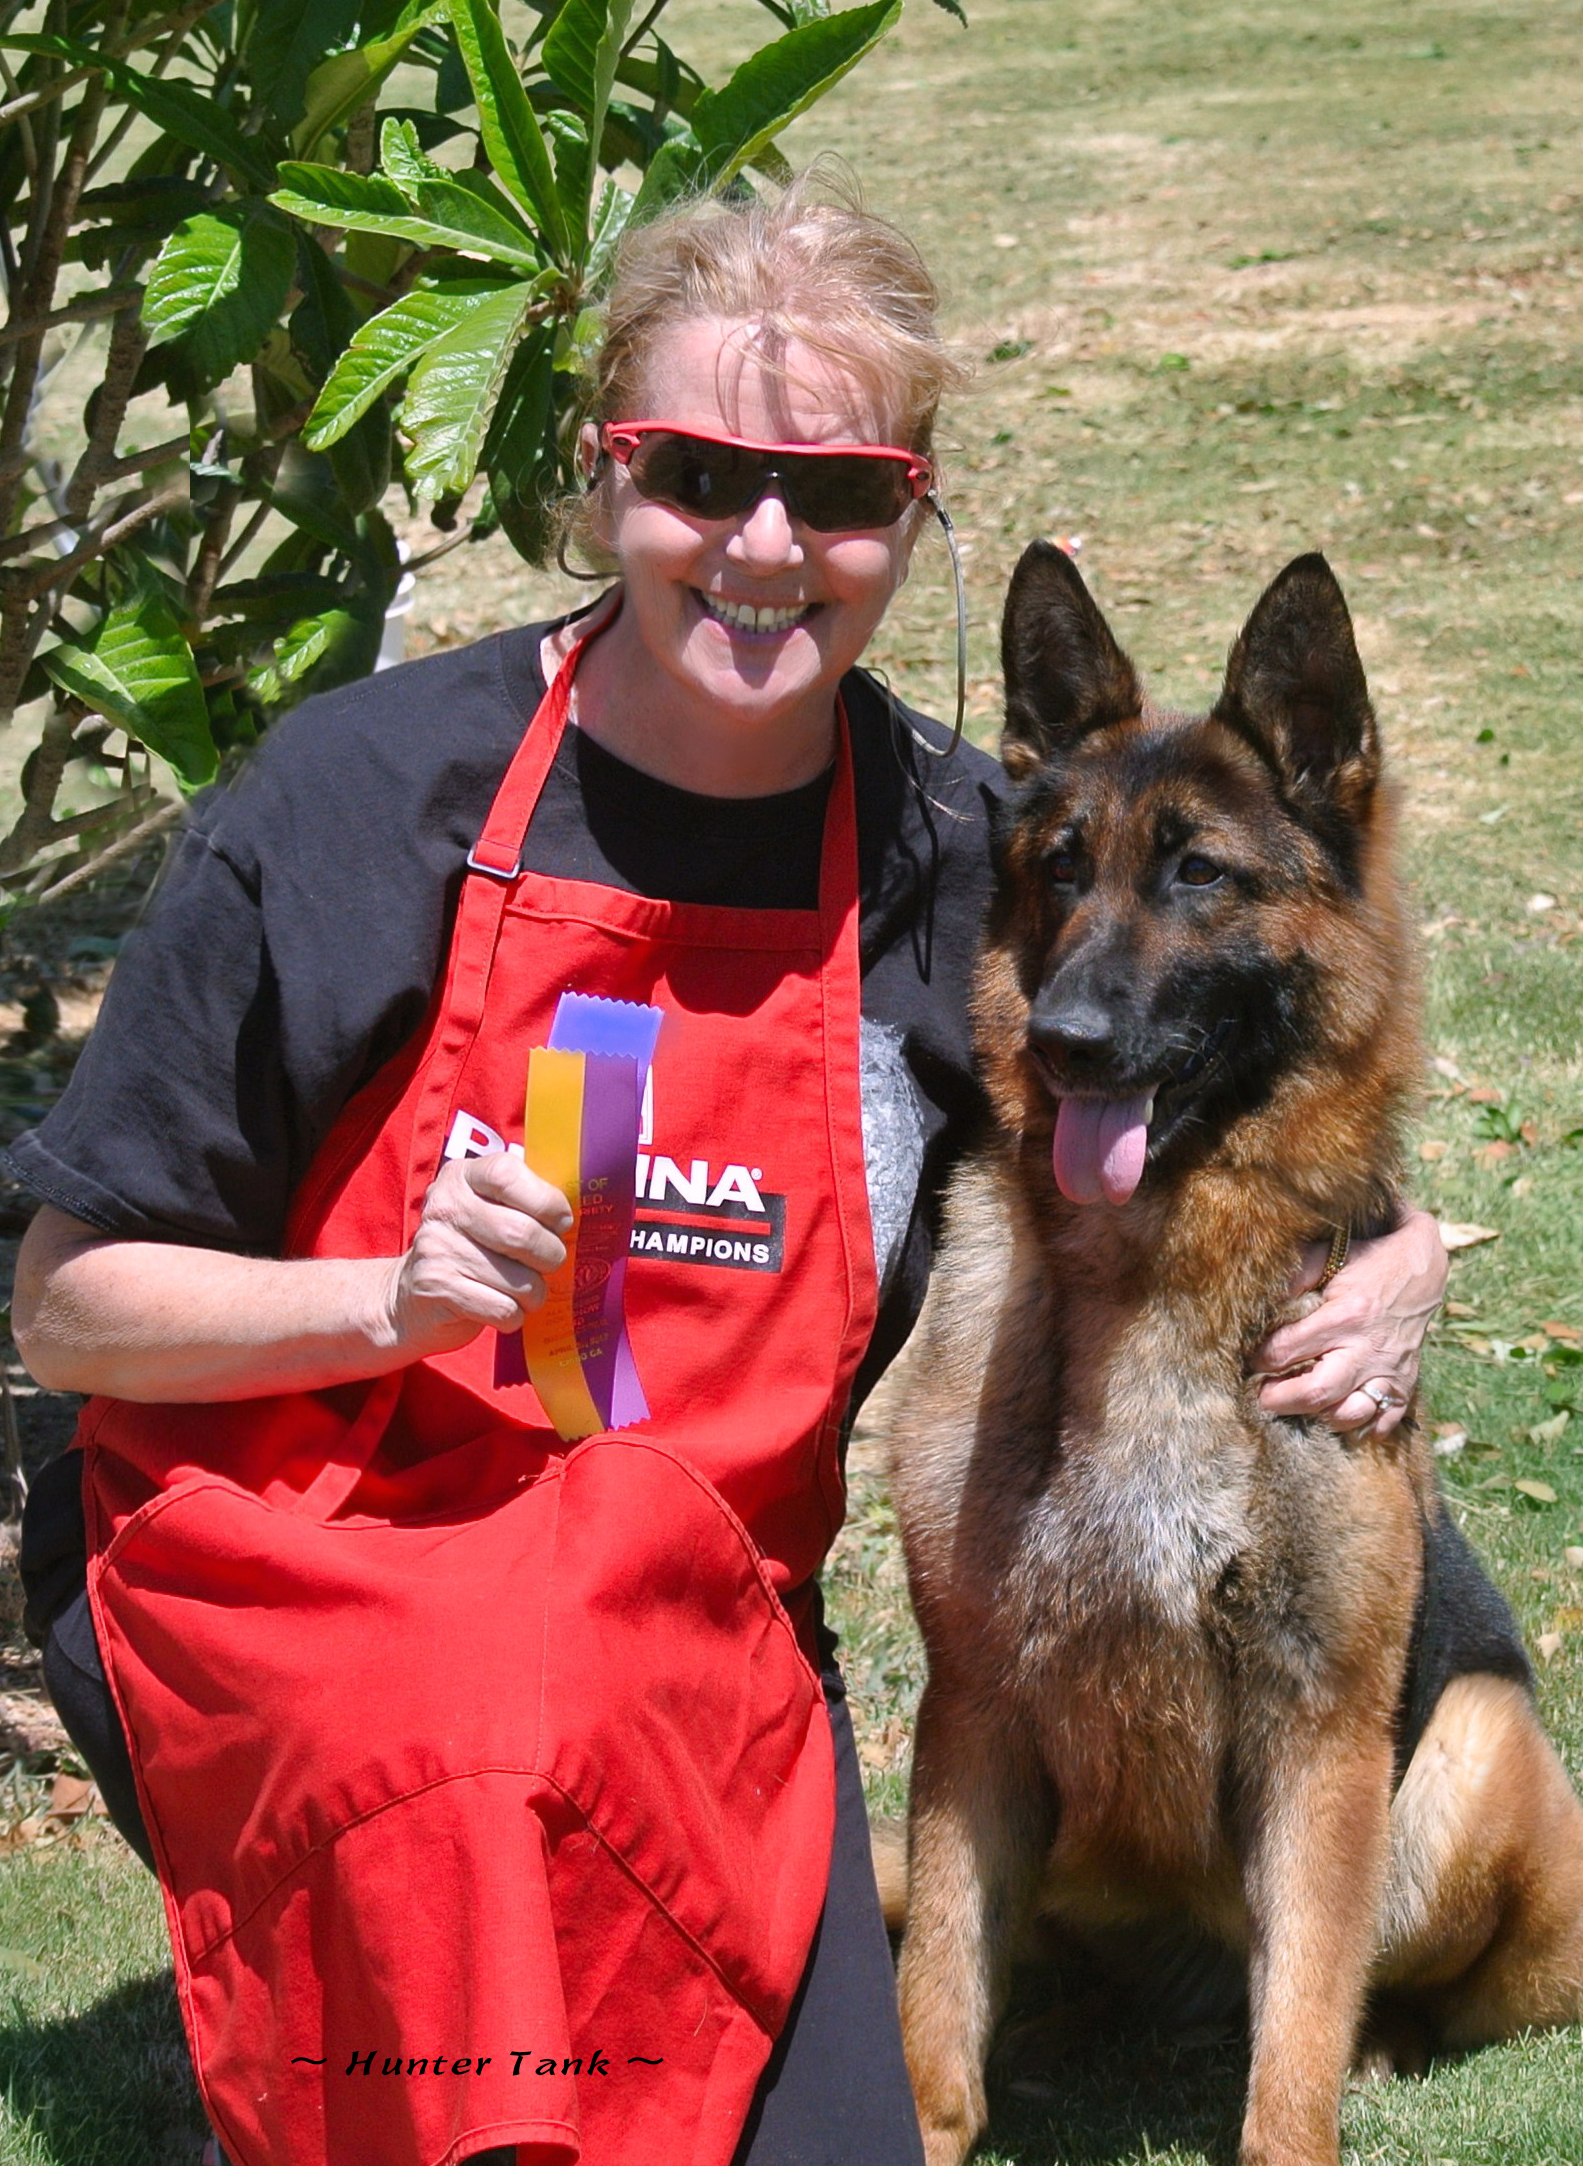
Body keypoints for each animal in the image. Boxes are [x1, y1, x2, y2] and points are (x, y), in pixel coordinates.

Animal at [883, 545, 1583, 2166]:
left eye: (1198, 874)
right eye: (1060, 866)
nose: (1065, 1040)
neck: (1148, 1280)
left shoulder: (1318, 1733)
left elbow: (1293, 2057)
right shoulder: (971, 1718)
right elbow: (932, 2006)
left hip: (1472, 1753)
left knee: (1405, 1994)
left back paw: (1387, 2040)